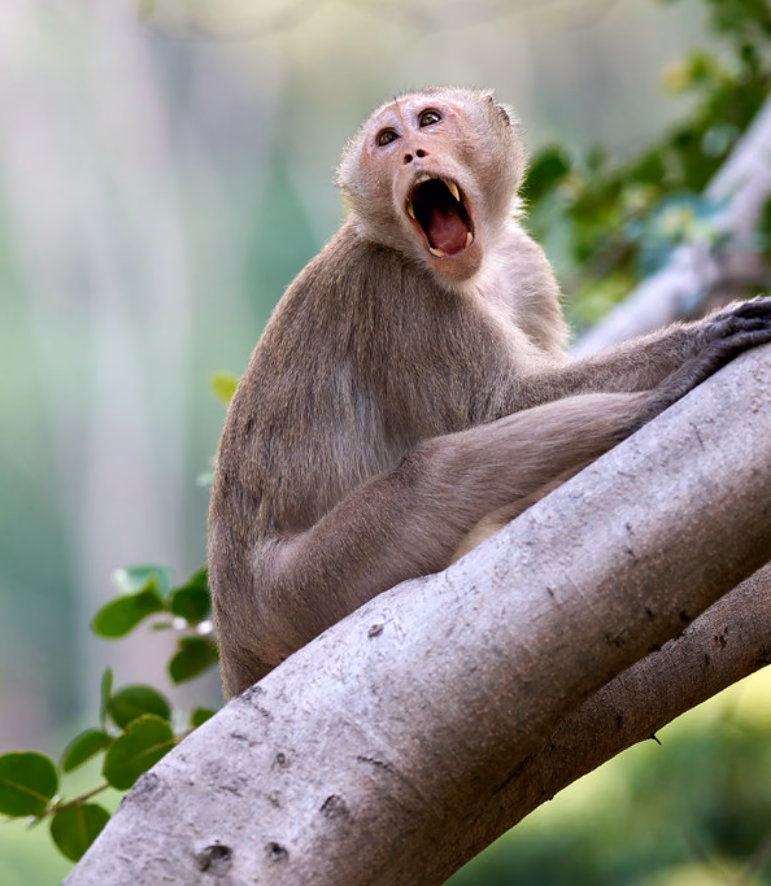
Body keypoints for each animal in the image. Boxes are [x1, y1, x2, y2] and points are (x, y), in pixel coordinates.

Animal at [208, 86, 771, 700]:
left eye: (429, 120)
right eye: (387, 139)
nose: (412, 153)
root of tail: (235, 646)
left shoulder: (527, 266)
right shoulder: (398, 293)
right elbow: (498, 405)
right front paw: (694, 342)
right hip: (299, 590)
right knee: (433, 469)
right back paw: (653, 403)